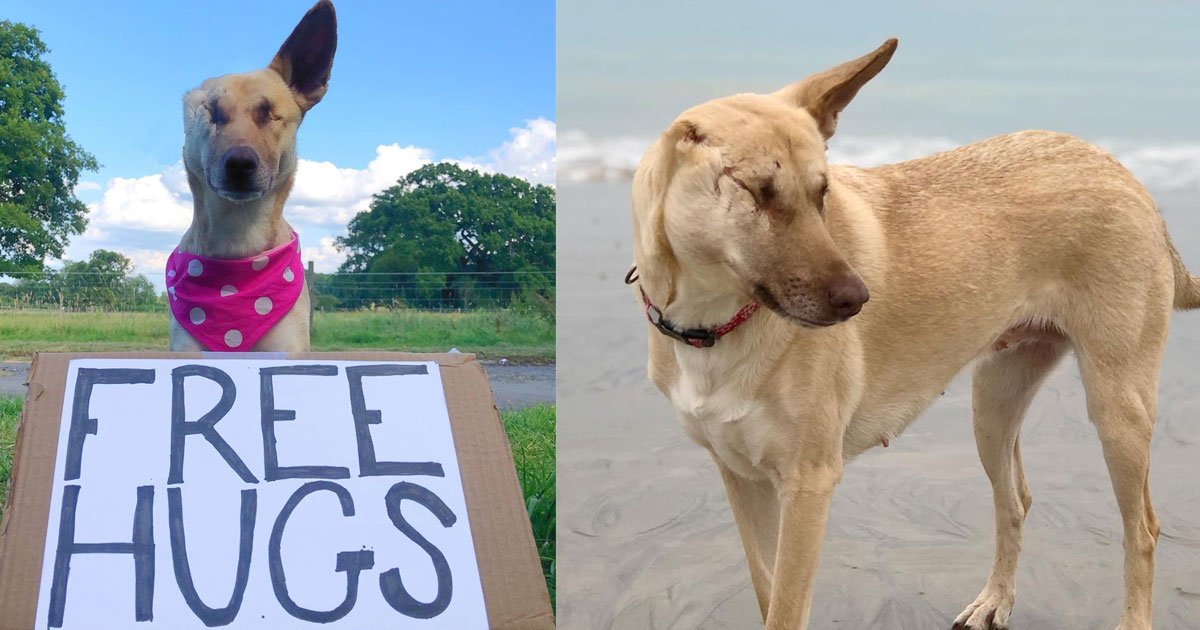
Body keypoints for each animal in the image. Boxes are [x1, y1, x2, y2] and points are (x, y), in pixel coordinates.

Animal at [633, 39, 1195, 628]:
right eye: (758, 191)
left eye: (822, 192)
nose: (858, 298)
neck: (715, 324)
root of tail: (1123, 172)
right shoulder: (742, 480)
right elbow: (769, 596)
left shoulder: (808, 485)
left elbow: (785, 609)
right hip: (993, 404)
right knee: (1014, 500)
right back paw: (995, 600)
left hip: (1117, 410)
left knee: (1143, 530)